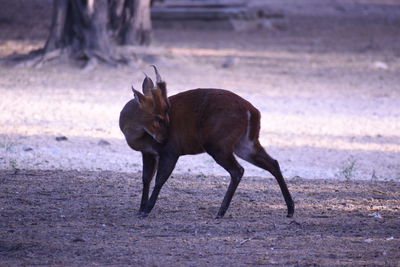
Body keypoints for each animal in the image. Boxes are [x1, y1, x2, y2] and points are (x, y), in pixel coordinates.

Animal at [119, 66, 294, 219]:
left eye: (166, 114)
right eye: (158, 117)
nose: (164, 138)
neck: (138, 135)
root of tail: (252, 111)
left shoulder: (171, 151)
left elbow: (160, 179)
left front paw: (146, 210)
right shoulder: (148, 152)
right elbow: (146, 179)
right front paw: (141, 209)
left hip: (218, 144)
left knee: (238, 170)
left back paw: (220, 212)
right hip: (245, 143)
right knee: (273, 163)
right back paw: (290, 209)